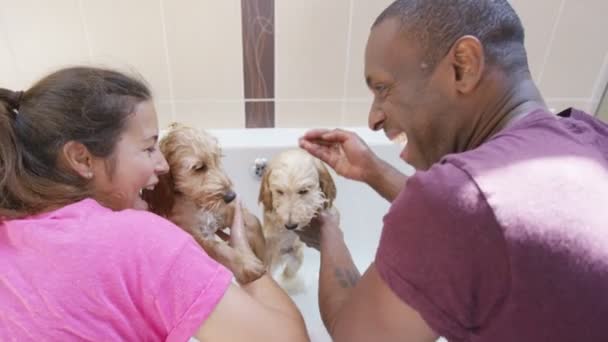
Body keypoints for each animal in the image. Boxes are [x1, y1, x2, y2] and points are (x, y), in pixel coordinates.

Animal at [144, 123, 268, 284]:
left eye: (217, 159)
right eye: (199, 168)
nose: (231, 196)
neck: (197, 203)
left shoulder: (225, 211)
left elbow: (254, 221)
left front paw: (264, 256)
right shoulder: (194, 235)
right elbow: (218, 248)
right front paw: (246, 265)